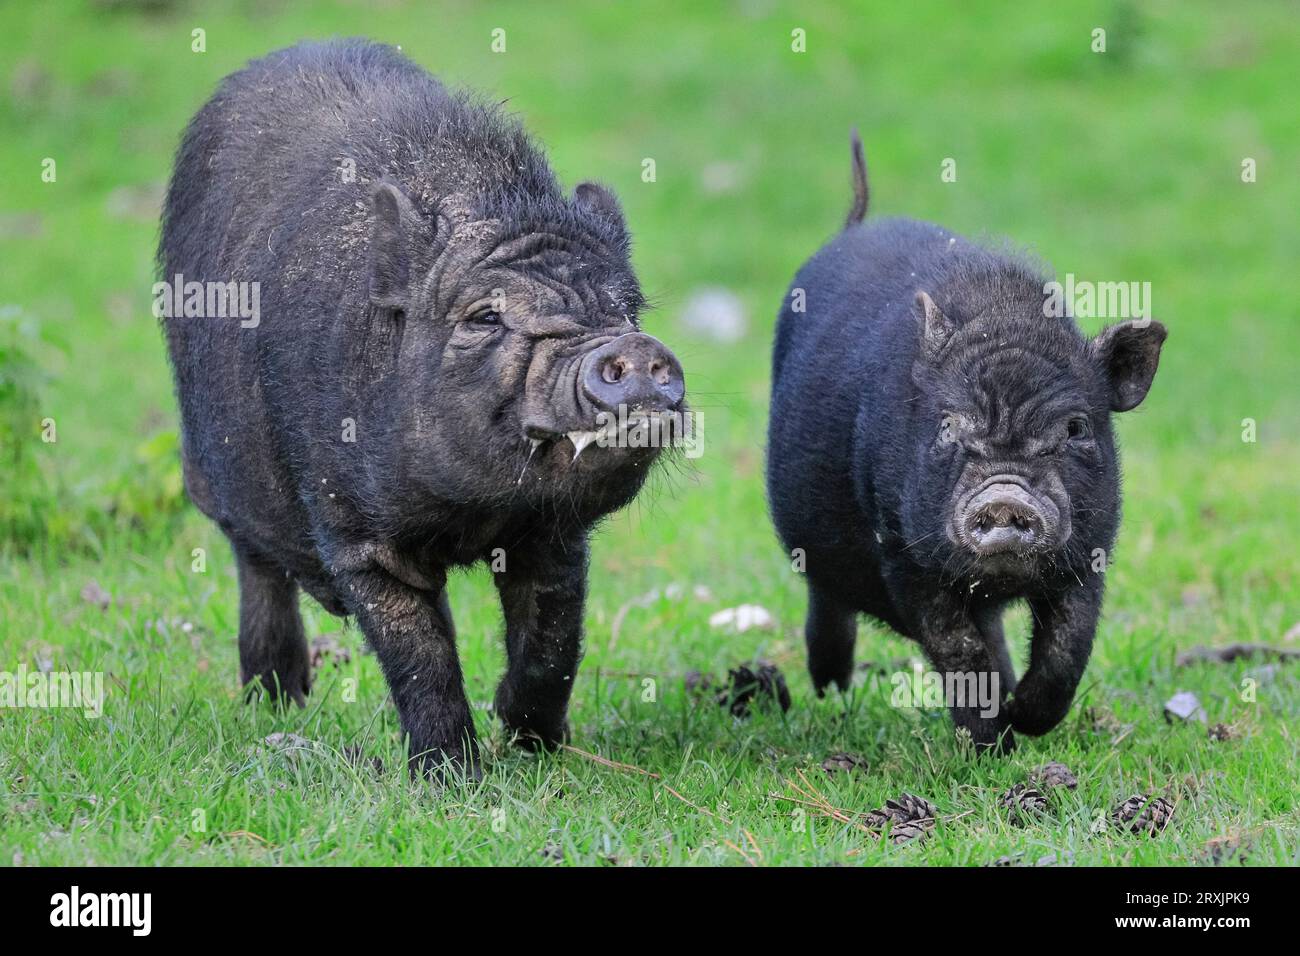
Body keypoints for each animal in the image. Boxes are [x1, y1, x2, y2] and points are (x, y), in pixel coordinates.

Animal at [764, 134, 1175, 749]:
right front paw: (991, 744)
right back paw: (827, 689)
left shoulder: (1092, 549)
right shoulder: (902, 549)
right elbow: (956, 648)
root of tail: (855, 221)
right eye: (949, 427)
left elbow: (1068, 645)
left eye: (1075, 428)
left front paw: (1025, 719)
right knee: (828, 604)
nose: (1003, 496)